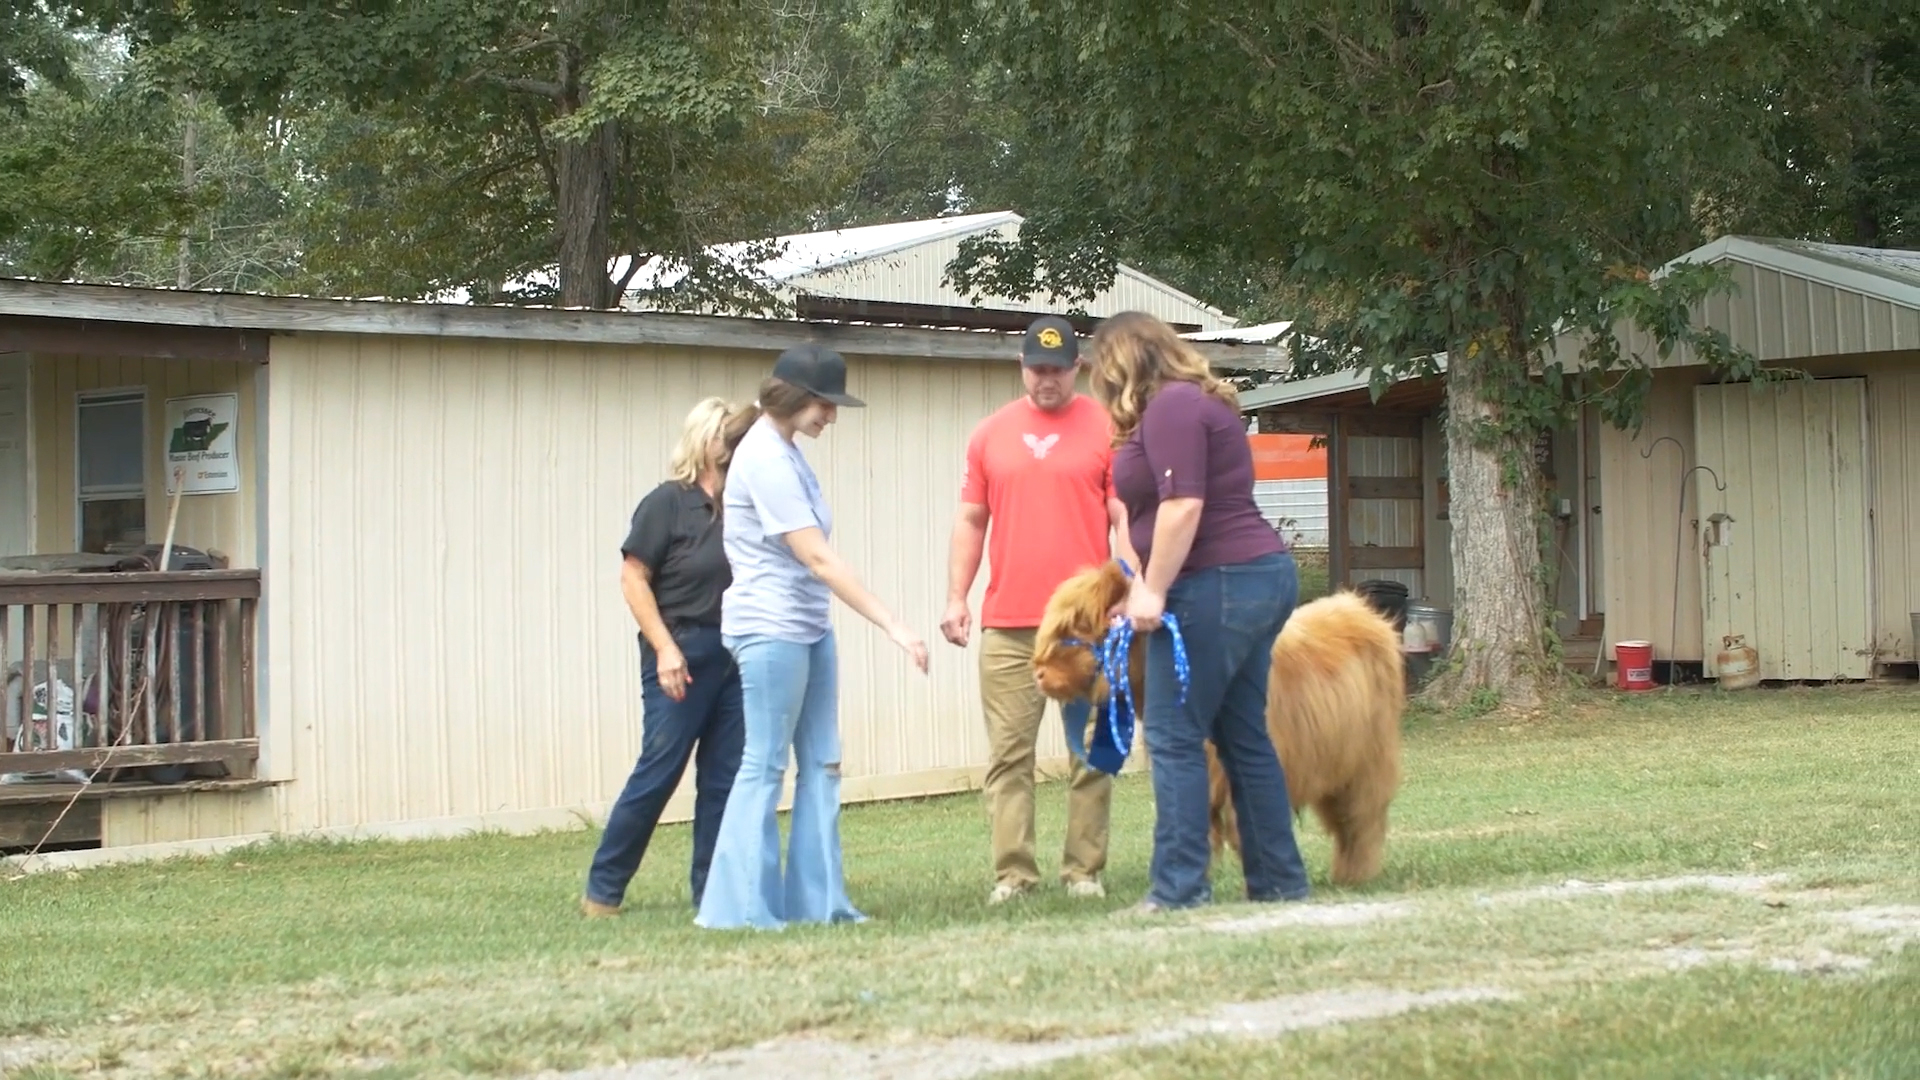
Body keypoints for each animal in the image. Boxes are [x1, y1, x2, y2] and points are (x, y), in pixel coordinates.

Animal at [1044, 553, 1405, 883]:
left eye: (1076, 627)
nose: (1039, 673)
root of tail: (1360, 609)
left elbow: (1244, 821)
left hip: (1367, 761)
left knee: (1362, 818)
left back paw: (1355, 875)